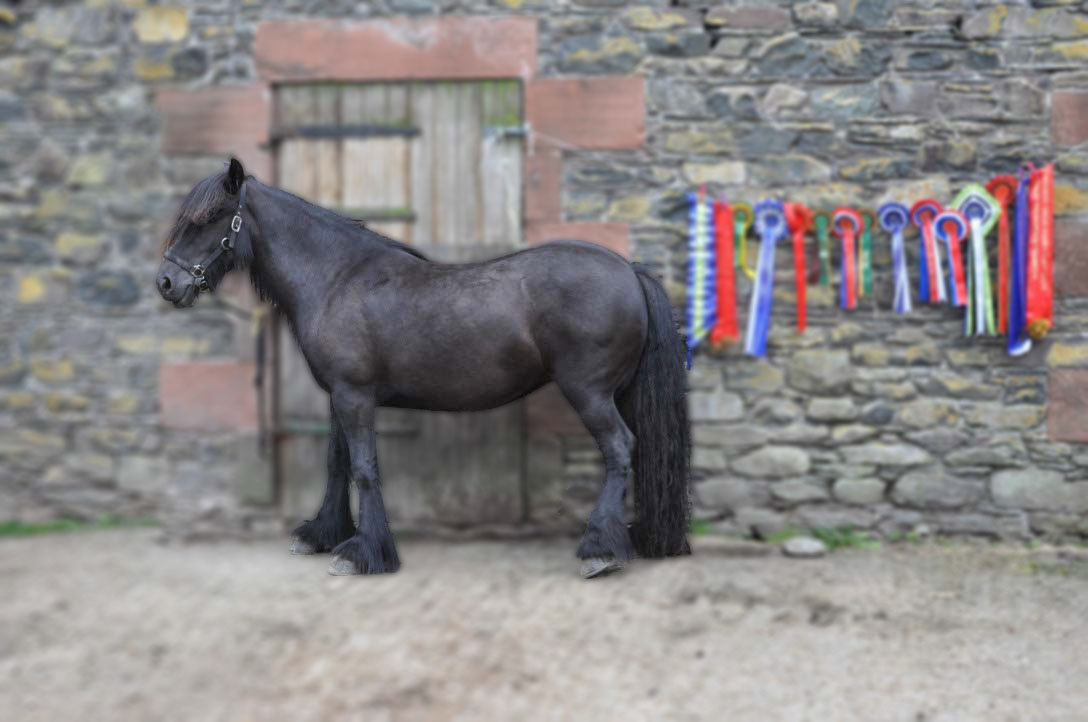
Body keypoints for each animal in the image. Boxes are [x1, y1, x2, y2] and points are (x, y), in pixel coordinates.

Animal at [156, 158, 691, 578]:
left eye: (211, 217)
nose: (166, 283)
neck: (336, 278)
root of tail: (628, 270)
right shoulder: (339, 396)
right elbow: (338, 463)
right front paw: (322, 534)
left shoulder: (354, 396)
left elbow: (365, 468)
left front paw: (362, 553)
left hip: (590, 393)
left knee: (620, 449)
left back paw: (600, 550)